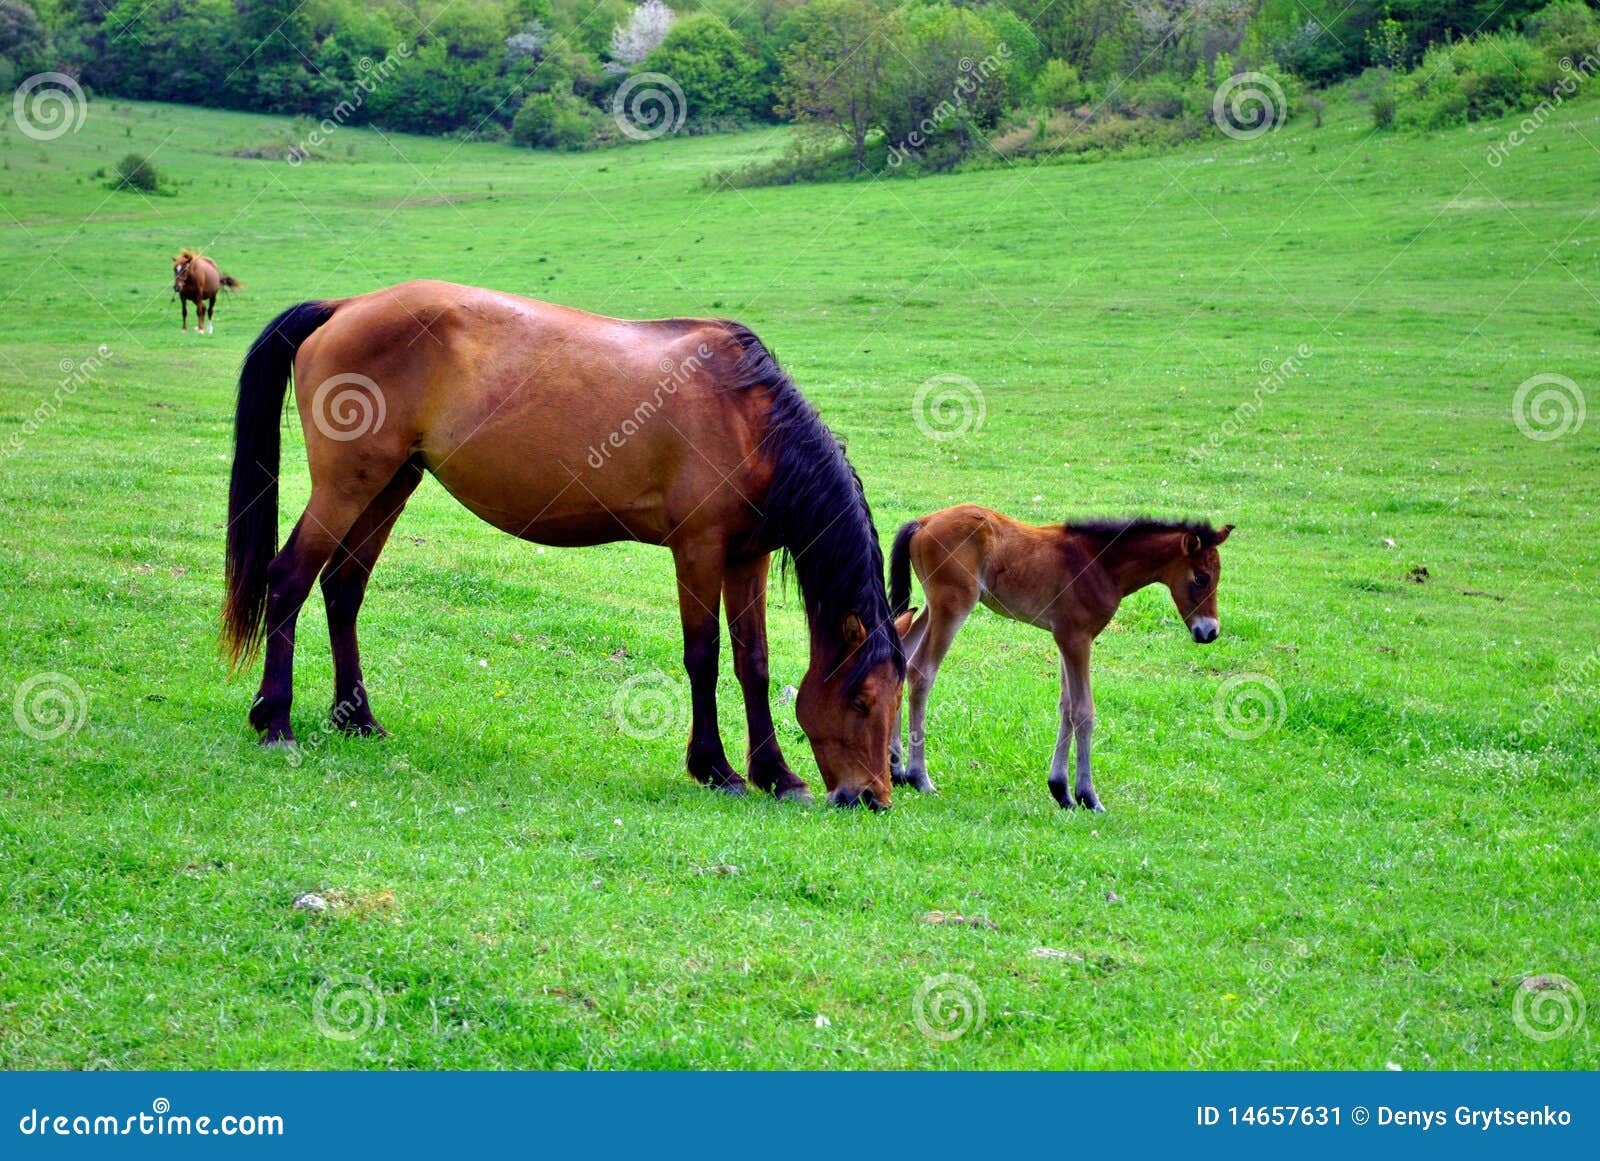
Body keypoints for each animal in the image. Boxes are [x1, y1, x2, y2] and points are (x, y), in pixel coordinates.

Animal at [222, 281, 904, 808]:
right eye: (863, 700)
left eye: (899, 700)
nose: (872, 797)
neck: (747, 418)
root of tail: (344, 307)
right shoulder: (699, 550)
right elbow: (704, 657)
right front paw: (716, 768)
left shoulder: (746, 556)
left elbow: (752, 662)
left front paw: (777, 775)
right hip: (346, 487)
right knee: (289, 579)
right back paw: (274, 719)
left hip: (390, 485)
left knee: (342, 590)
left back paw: (357, 720)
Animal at [887, 505, 1233, 811]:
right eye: (1201, 578)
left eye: (1216, 577)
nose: (1209, 631)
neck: (1100, 564)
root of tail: (923, 522)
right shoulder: (1076, 638)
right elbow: (1083, 710)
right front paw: (1088, 797)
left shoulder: (1065, 638)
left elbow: (1066, 706)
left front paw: (1061, 791)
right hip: (953, 606)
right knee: (921, 671)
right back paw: (919, 777)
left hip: (933, 607)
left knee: (901, 657)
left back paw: (896, 768)